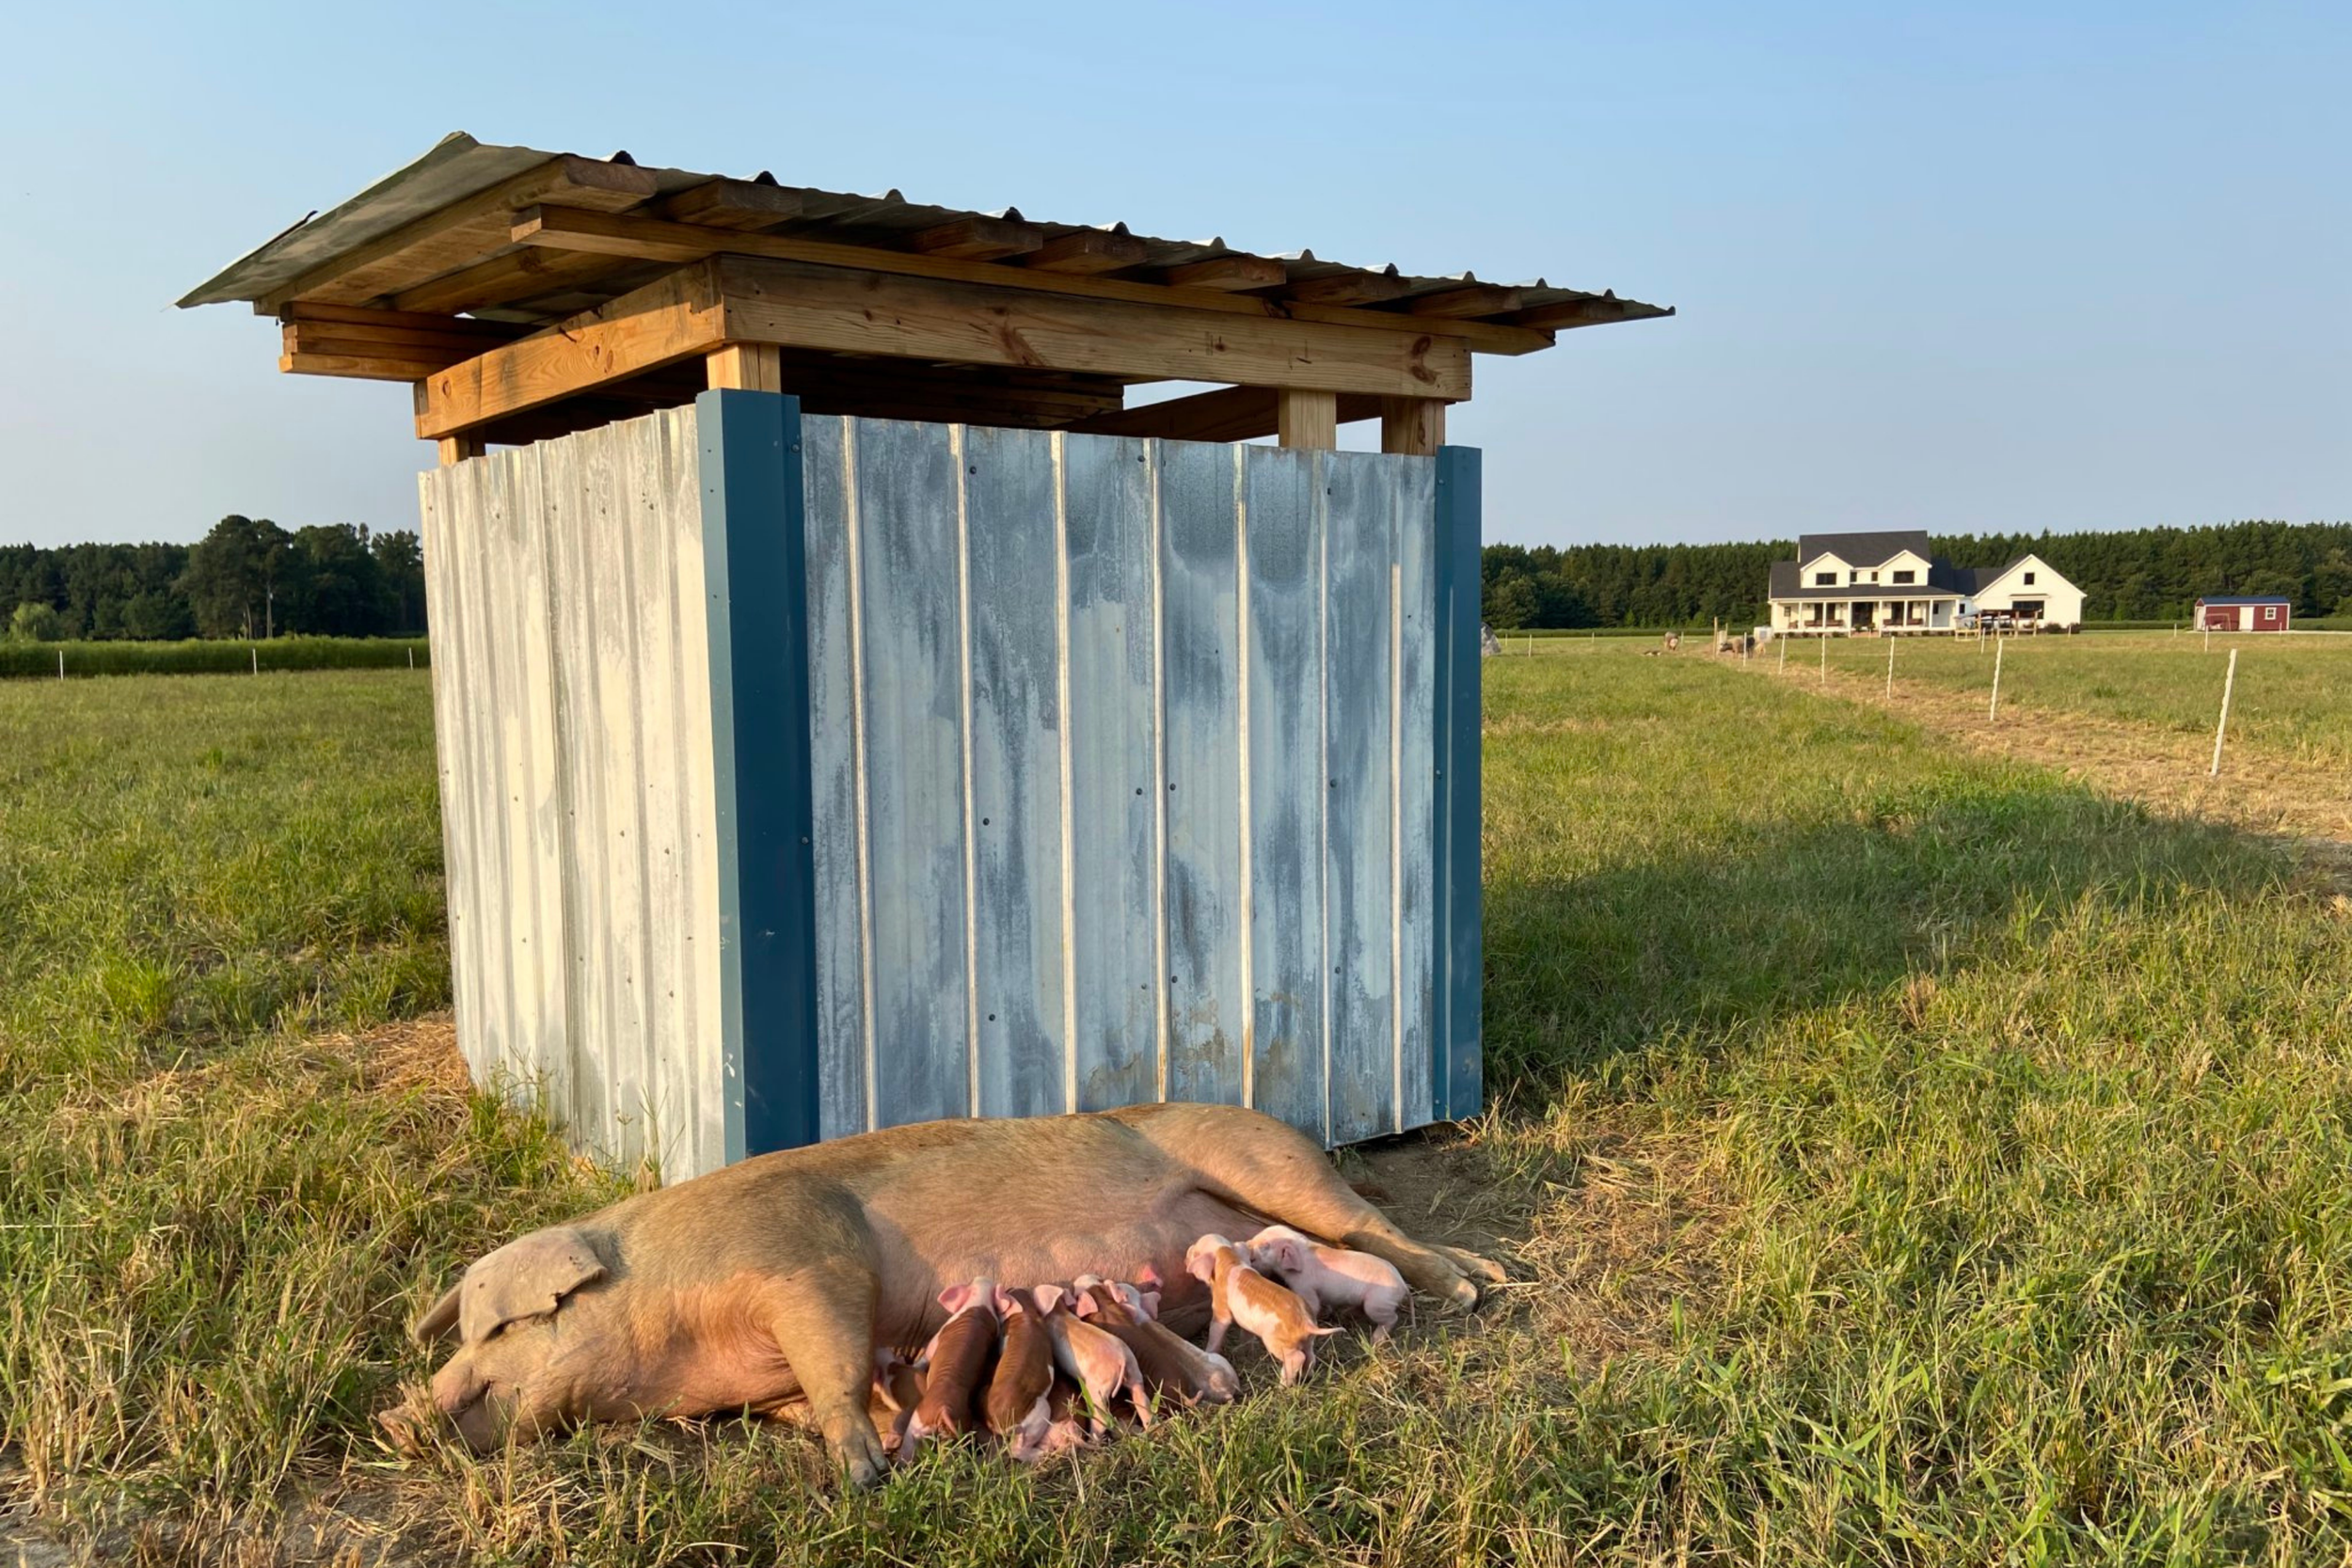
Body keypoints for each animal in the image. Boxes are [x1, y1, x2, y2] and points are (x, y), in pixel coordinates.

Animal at [900, 1279, 998, 1455]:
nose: (982, 1278)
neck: (980, 1303)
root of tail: (944, 1409)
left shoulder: (940, 1333)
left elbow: (928, 1353)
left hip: (919, 1421)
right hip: (957, 1431)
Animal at [1034, 1284, 1152, 1433]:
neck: (1059, 1313)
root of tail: (1122, 1360)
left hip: (1098, 1388)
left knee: (1101, 1419)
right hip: (1135, 1373)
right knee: (1143, 1402)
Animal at [1185, 1234, 1338, 1386]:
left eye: (1195, 1252)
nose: (1187, 1251)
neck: (1227, 1256)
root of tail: (1306, 1322)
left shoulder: (1221, 1308)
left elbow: (1217, 1329)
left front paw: (1208, 1352)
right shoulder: (1246, 1321)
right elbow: (1246, 1336)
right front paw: (1244, 1353)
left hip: (1276, 1341)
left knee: (1297, 1357)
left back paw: (1282, 1385)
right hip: (1308, 1340)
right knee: (1310, 1356)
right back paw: (1307, 1377)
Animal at [1246, 1224, 1411, 1343]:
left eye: (1265, 1246)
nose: (1247, 1243)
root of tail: (1402, 1284)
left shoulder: (1305, 1286)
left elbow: (1313, 1305)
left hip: (1378, 1303)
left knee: (1392, 1318)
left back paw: (1375, 1340)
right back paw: (1345, 1314)